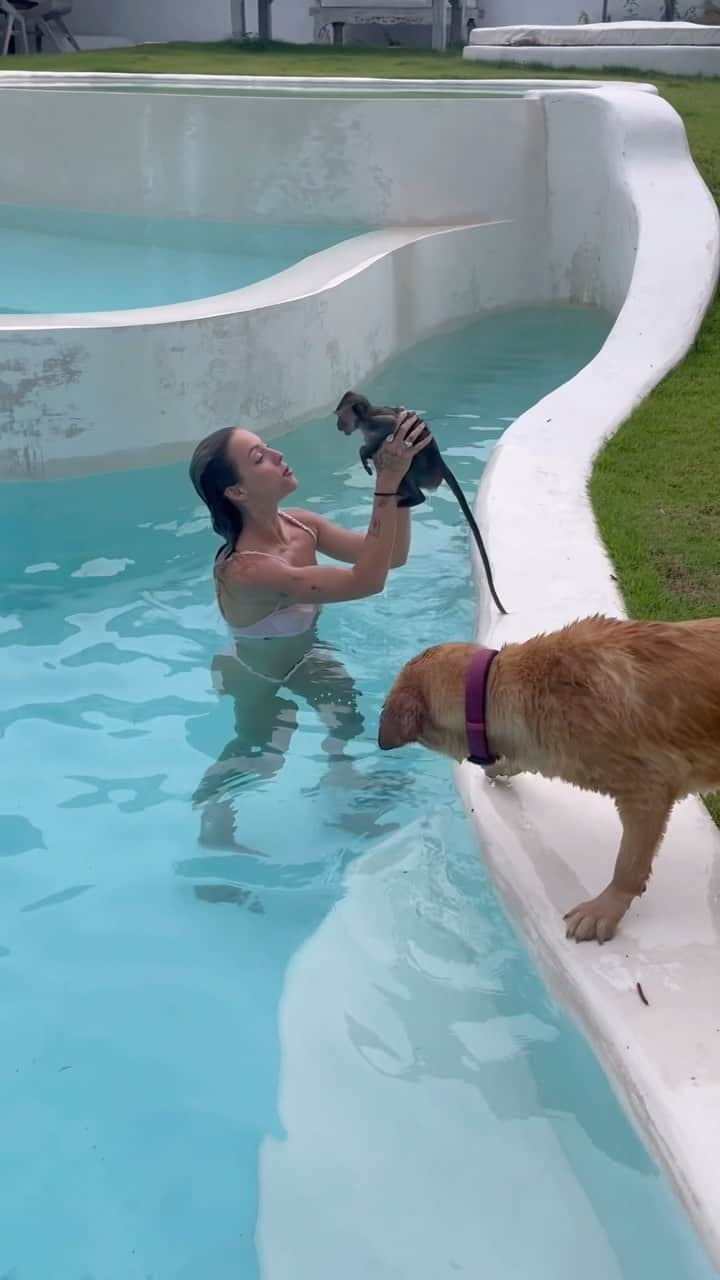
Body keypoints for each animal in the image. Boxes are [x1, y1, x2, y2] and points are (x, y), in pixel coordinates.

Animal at [333, 384, 504, 614]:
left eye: (340, 417)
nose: (338, 425)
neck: (365, 420)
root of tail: (440, 464)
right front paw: (367, 454)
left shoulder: (380, 422)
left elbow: (391, 427)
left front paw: (366, 452)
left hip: (425, 470)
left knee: (411, 466)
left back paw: (413, 496)